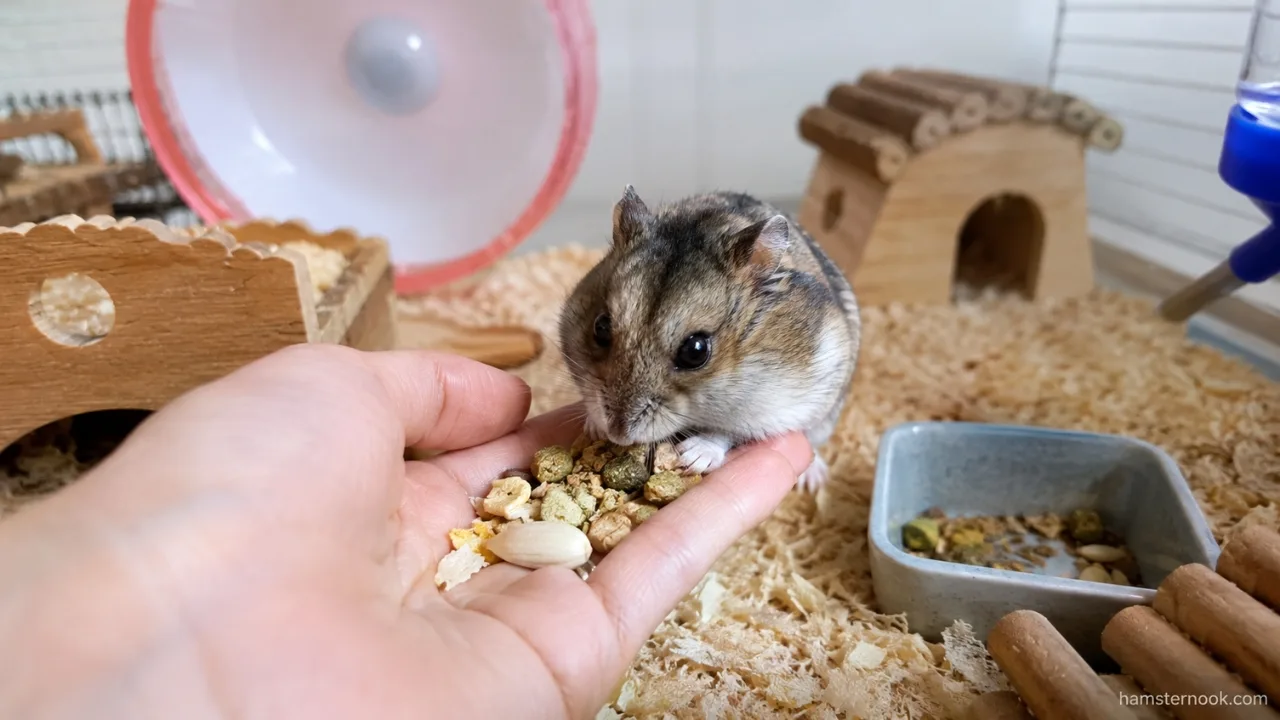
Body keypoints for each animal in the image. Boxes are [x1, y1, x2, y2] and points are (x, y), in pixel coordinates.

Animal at [557, 186, 861, 493]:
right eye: (601, 327)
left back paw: (814, 480)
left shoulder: (779, 408)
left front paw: (691, 457)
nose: (617, 434)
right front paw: (593, 427)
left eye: (695, 351)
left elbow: (726, 432)